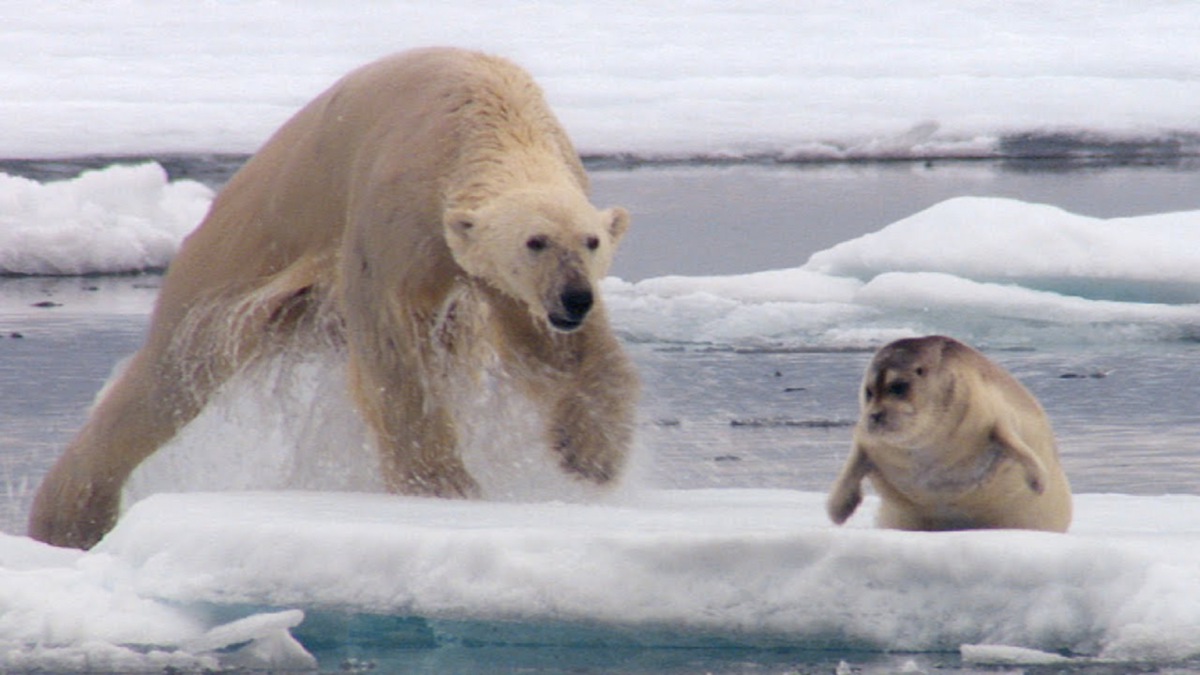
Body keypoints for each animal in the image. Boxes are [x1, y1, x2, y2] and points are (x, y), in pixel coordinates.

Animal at [28, 47, 639, 549]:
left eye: (591, 241)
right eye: (535, 241)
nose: (575, 298)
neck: (486, 114)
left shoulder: (498, 272)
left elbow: (554, 350)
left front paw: (591, 454)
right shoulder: (396, 206)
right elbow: (394, 347)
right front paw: (445, 486)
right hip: (244, 247)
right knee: (173, 373)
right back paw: (69, 516)